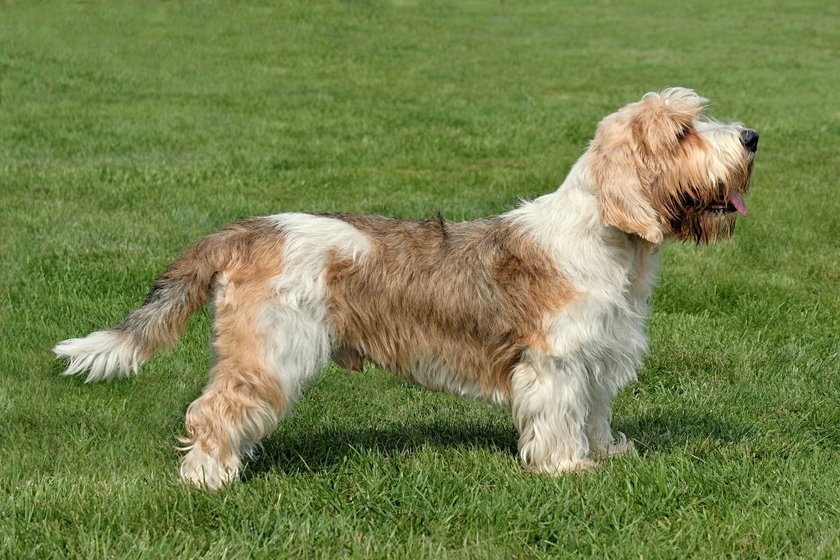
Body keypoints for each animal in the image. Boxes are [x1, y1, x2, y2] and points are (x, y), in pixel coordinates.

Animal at [55, 88, 756, 490]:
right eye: (682, 133)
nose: (752, 138)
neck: (607, 242)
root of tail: (251, 229)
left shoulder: (599, 360)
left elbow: (596, 414)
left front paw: (608, 454)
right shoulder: (556, 363)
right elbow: (560, 417)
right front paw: (568, 469)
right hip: (273, 352)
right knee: (213, 410)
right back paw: (208, 479)